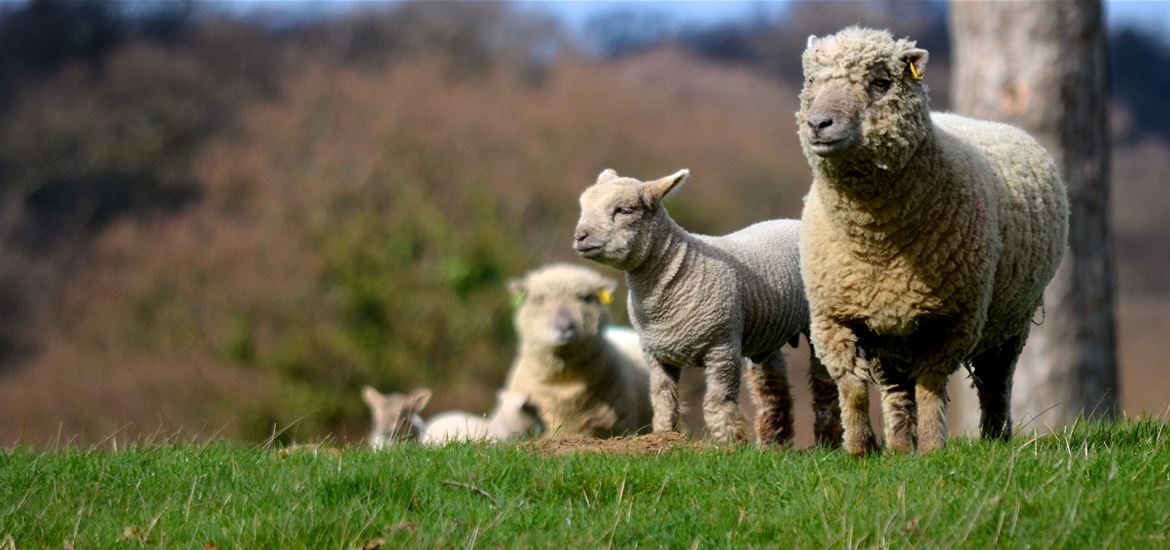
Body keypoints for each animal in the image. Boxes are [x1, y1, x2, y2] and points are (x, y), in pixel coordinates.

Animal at [573, 168, 842, 447]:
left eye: (625, 210)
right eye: (584, 206)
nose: (580, 236)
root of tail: (795, 220)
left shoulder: (722, 348)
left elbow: (718, 401)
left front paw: (730, 443)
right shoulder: (655, 353)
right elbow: (663, 398)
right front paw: (664, 436)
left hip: (818, 322)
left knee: (824, 385)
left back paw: (827, 442)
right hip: (767, 333)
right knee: (772, 387)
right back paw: (773, 443)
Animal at [795, 25, 1071, 456]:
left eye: (880, 83)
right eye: (811, 81)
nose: (818, 123)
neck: (877, 245)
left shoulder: (953, 320)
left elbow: (930, 384)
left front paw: (931, 447)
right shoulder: (833, 315)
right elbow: (852, 386)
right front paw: (859, 450)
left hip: (1011, 320)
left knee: (996, 380)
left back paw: (994, 435)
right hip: (889, 334)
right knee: (895, 388)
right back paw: (898, 444)